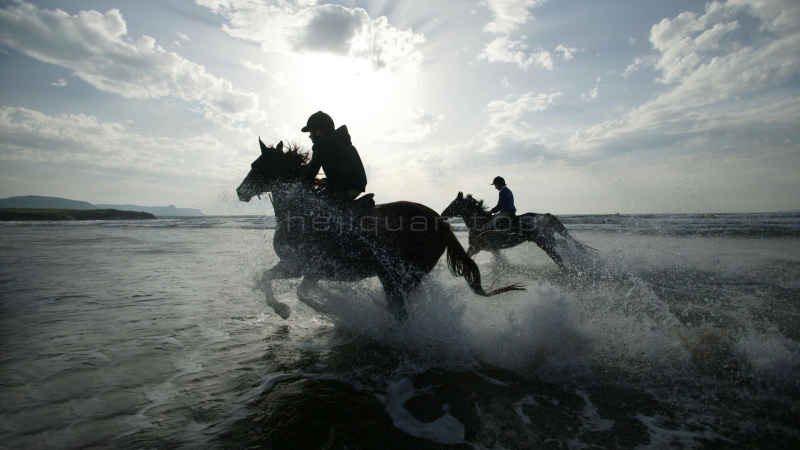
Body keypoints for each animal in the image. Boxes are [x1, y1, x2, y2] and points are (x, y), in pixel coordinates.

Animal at [236, 141, 524, 320]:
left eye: (257, 165)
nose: (240, 191)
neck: (301, 211)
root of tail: (440, 222)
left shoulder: (296, 264)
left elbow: (267, 278)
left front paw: (283, 309)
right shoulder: (313, 271)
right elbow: (301, 292)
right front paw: (327, 309)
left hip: (398, 277)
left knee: (400, 310)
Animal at [440, 192, 592, 268]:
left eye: (454, 203)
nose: (443, 214)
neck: (479, 223)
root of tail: (544, 216)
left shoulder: (476, 247)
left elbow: (467, 255)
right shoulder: (493, 249)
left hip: (544, 243)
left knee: (558, 258)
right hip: (549, 240)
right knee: (564, 245)